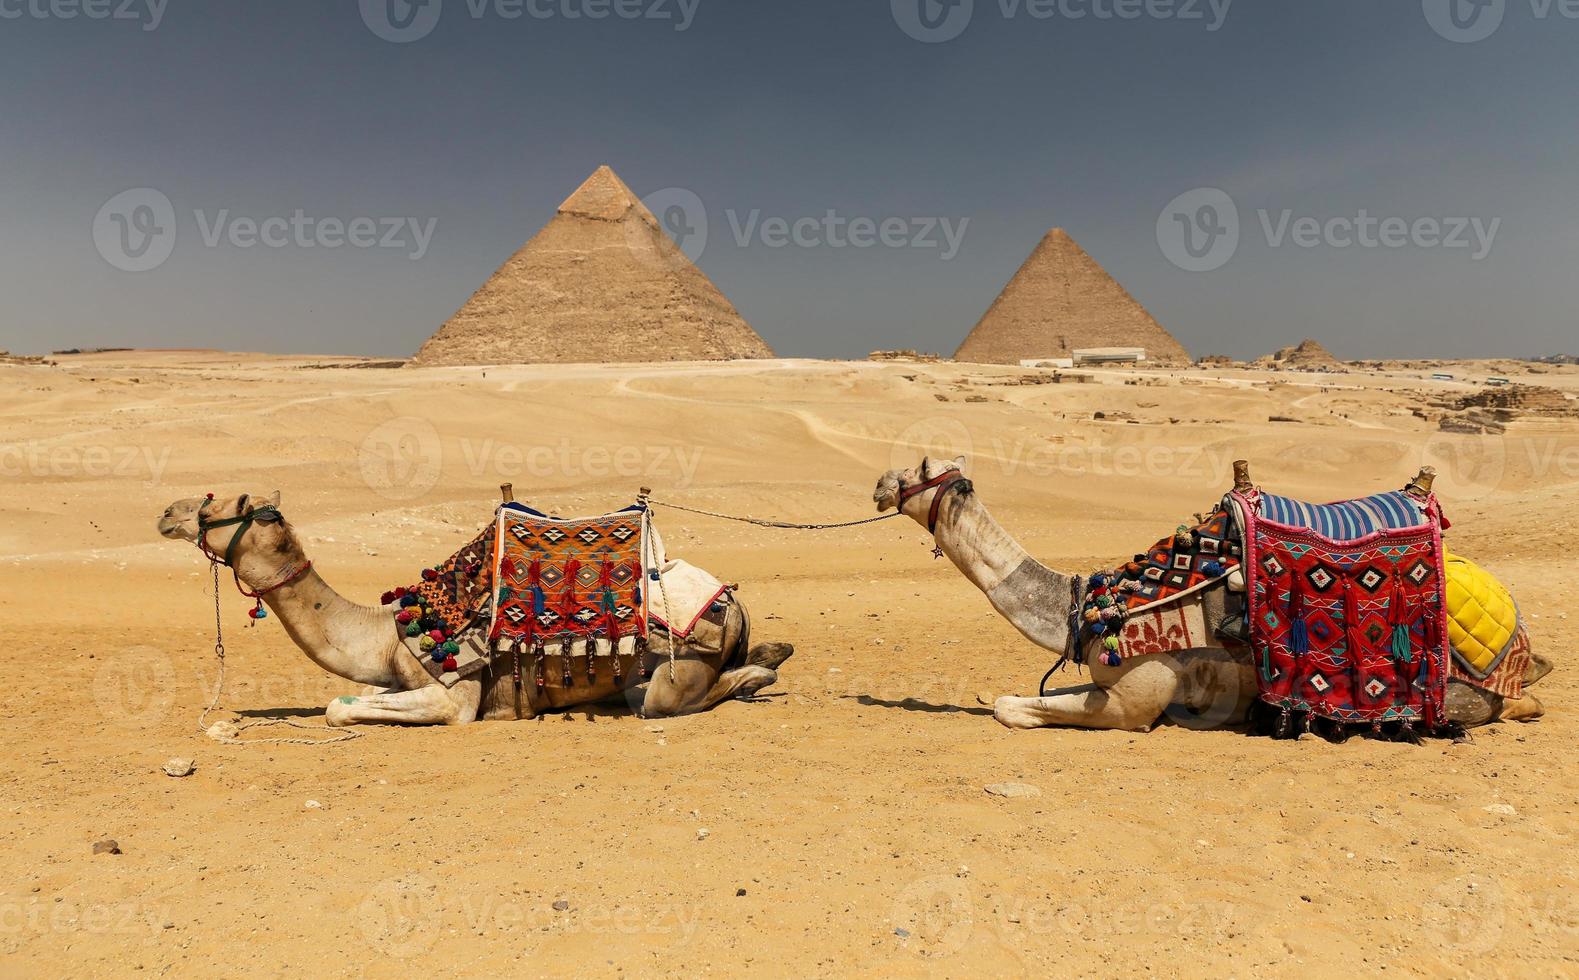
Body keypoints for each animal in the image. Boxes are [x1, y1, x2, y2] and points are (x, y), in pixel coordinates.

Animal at [157, 489, 789, 725]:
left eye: (213, 506)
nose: (166, 512)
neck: (386, 631)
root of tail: (731, 601)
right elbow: (351, 697)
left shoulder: (457, 696)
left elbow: (340, 708)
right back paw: (774, 651)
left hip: (666, 680)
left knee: (681, 697)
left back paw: (762, 673)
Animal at [877, 454, 1553, 729]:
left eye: (918, 469)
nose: (881, 483)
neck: (1090, 608)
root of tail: (1521, 643)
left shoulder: (1135, 699)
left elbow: (1011, 708)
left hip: (1460, 692)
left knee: (1518, 705)